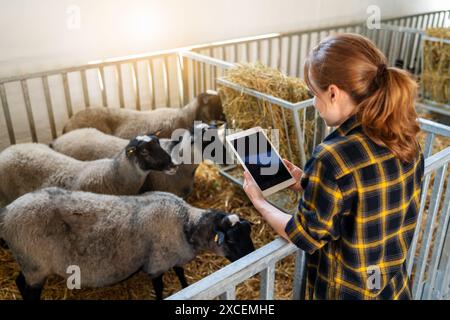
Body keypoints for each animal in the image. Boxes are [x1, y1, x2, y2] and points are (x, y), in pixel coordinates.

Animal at [0, 188, 255, 300]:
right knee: (26, 289)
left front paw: (185, 286)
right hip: (34, 264)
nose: (252, 254)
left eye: (249, 233)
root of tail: (8, 212)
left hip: (31, 263)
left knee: (20, 281)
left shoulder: (175, 257)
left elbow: (181, 273)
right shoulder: (156, 265)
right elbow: (160, 287)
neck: (186, 224)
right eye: (232, 239)